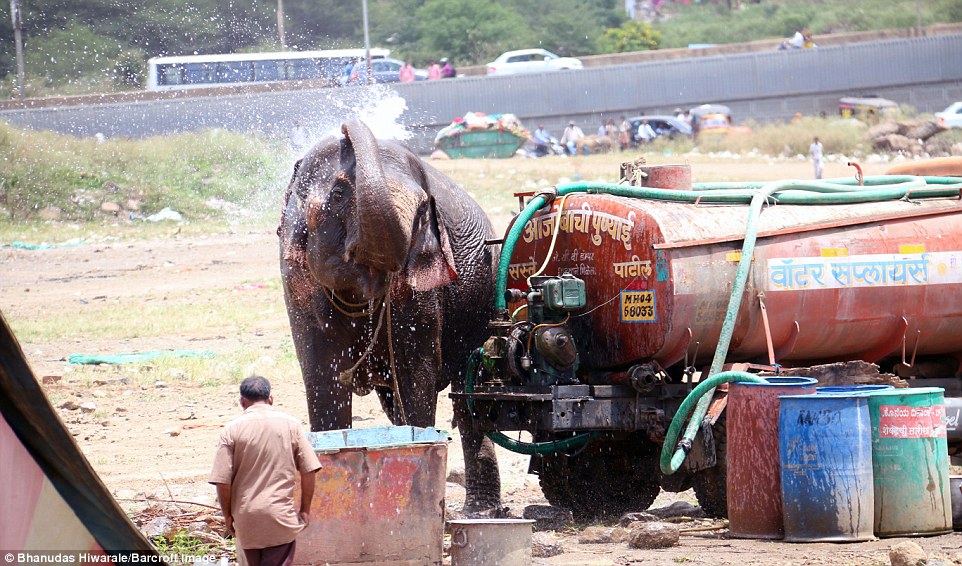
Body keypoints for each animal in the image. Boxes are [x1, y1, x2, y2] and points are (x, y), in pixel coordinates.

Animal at [278, 118, 502, 516]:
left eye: (421, 212)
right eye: (338, 195)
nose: (346, 125)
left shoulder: (420, 289)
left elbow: (416, 372)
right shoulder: (295, 280)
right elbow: (321, 375)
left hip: (482, 299)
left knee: (467, 397)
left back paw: (482, 512)